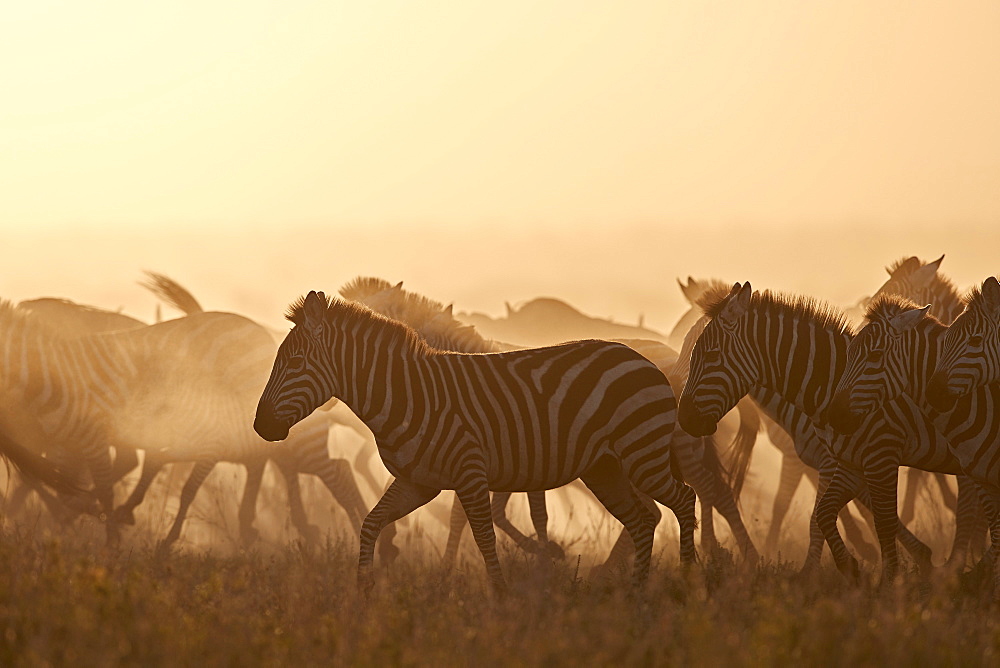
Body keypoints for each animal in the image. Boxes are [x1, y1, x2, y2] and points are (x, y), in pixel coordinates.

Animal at [254, 290, 700, 592]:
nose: (260, 426)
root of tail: (645, 359)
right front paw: (364, 592)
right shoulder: (418, 482)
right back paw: (637, 592)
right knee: (643, 520)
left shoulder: (469, 473)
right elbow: (370, 524)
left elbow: (484, 538)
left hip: (641, 454)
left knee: (683, 500)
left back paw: (689, 579)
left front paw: (501, 598)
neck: (406, 394)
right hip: (603, 469)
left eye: (295, 362)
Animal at [676, 284, 948, 584]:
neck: (827, 384)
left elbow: (817, 516)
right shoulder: (842, 460)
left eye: (710, 355)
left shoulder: (840, 459)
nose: (682, 417)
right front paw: (903, 553)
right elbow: (846, 508)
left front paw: (814, 569)